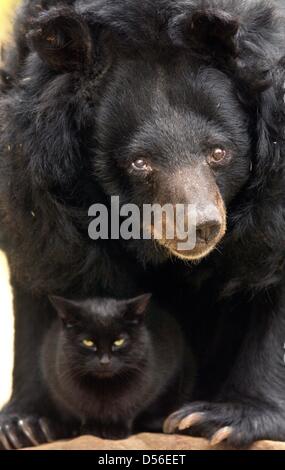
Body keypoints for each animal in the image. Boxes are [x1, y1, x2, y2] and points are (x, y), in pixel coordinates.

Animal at [40, 294, 193, 440]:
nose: (104, 361)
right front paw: (92, 429)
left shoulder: (144, 388)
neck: (105, 387)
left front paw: (117, 430)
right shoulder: (65, 389)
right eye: (88, 342)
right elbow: (84, 409)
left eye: (119, 341)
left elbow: (128, 407)